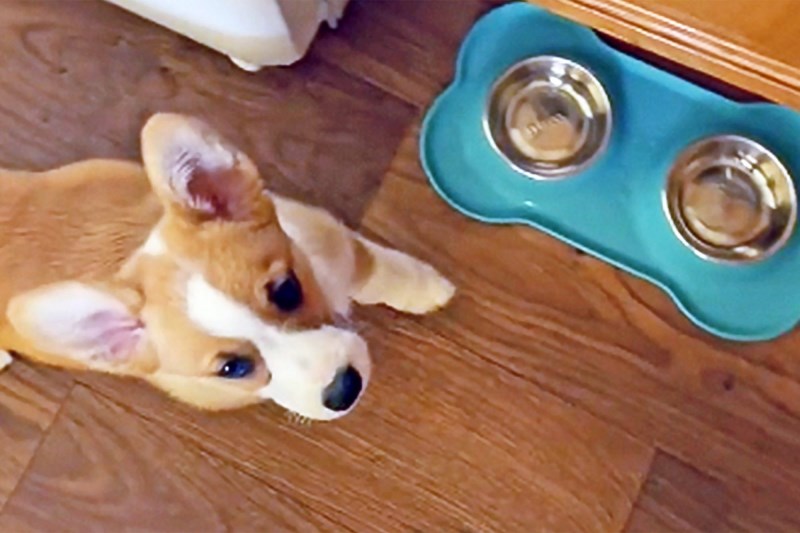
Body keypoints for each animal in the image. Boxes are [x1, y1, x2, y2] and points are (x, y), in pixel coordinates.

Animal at [0, 113, 454, 420]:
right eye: (233, 369)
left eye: (287, 290)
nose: (345, 389)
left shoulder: (331, 244)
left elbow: (381, 271)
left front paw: (428, 289)